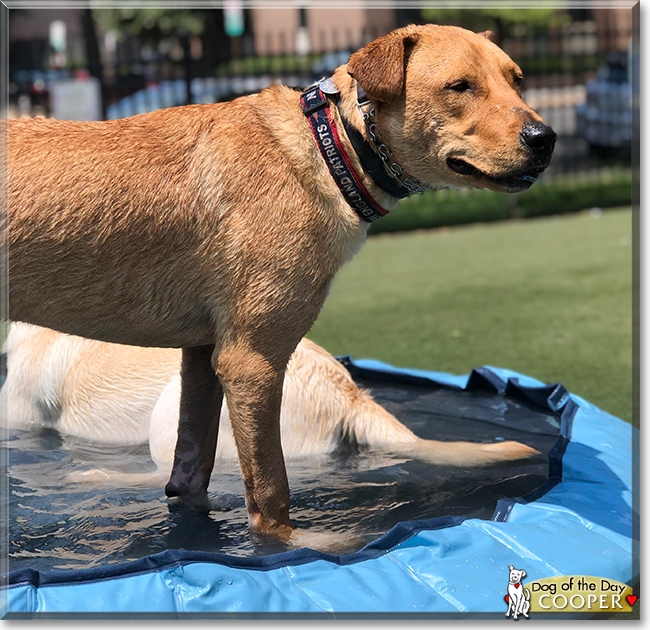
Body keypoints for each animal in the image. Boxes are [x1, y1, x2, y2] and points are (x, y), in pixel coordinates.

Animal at [5, 25, 552, 540]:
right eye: (459, 86)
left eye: (517, 79)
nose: (545, 137)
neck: (332, 148)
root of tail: (352, 398)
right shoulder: (252, 363)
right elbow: (271, 496)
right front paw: (288, 549)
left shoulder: (204, 357)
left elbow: (190, 475)